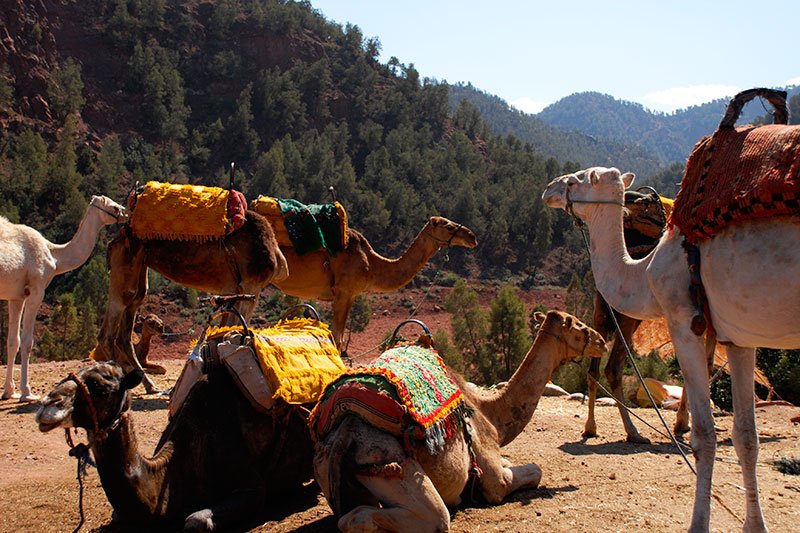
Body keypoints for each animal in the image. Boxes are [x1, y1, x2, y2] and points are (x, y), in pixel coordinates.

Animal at [0, 194, 126, 400]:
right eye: (113, 207)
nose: (124, 212)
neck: (54, 255)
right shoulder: (36, 290)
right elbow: (27, 341)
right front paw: (27, 392)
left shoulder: (16, 296)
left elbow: (13, 341)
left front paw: (9, 392)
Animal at [94, 210, 288, 392]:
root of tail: (118, 236)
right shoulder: (251, 286)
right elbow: (236, 328)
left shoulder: (235, 291)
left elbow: (227, 327)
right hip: (125, 267)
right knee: (109, 332)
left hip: (139, 268)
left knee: (125, 331)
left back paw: (150, 386)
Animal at [276, 217, 476, 350]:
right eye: (448, 226)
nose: (472, 236)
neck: (371, 264)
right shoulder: (343, 292)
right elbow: (337, 338)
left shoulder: (351, 295)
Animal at [312, 310, 608, 528]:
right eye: (580, 326)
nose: (602, 342)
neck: (490, 413)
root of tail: (343, 436)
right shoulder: (496, 481)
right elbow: (534, 471)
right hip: (385, 461)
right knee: (420, 518)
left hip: (327, 466)